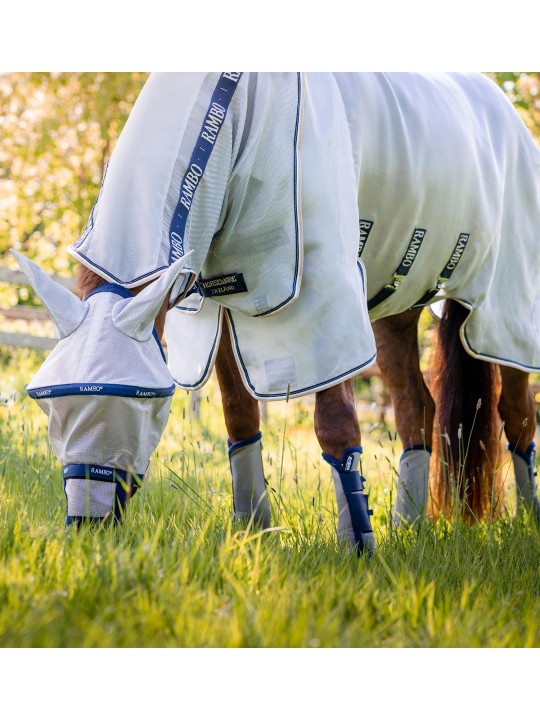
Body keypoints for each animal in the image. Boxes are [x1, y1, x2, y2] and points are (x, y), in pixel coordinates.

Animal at [13, 71, 540, 552]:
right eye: (51, 404)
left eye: (147, 401)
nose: (88, 526)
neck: (237, 111)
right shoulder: (219, 306)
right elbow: (240, 418)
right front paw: (253, 531)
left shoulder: (323, 297)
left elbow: (335, 424)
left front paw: (357, 549)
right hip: (397, 310)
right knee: (417, 407)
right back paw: (407, 526)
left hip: (504, 311)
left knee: (516, 413)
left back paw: (525, 521)